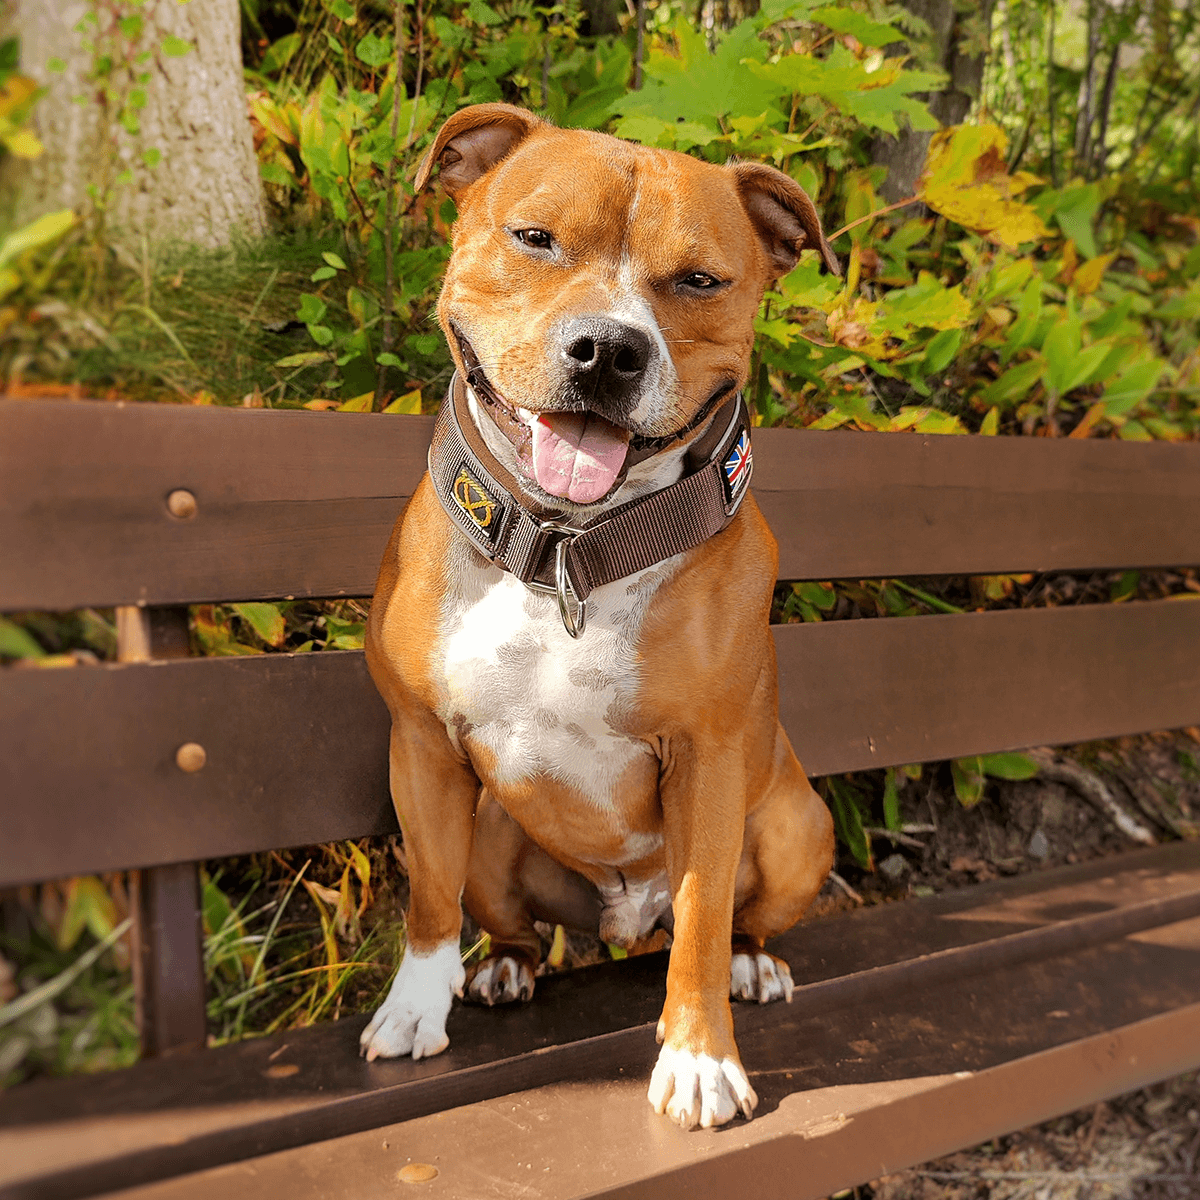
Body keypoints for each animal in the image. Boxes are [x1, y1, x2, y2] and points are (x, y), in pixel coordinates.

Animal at [360, 100, 840, 1123]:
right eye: (534, 238)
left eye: (699, 280)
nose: (609, 348)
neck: (567, 550)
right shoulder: (421, 745)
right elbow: (428, 897)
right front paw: (416, 1007)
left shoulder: (706, 760)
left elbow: (702, 918)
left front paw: (699, 1058)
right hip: (491, 834)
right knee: (501, 916)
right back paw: (501, 969)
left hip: (795, 823)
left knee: (735, 920)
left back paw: (754, 965)